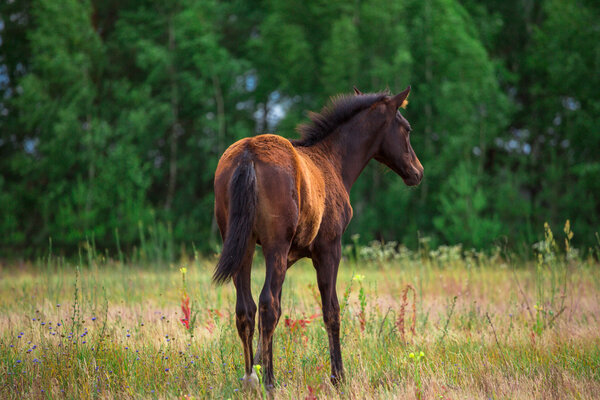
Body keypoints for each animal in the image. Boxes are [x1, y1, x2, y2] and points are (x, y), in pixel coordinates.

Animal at [213, 86, 424, 390]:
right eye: (406, 129)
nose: (417, 172)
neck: (332, 161)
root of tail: (247, 154)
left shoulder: (290, 253)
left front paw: (261, 367)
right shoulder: (328, 248)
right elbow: (331, 310)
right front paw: (339, 377)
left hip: (244, 247)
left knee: (246, 309)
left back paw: (250, 378)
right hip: (274, 246)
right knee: (267, 305)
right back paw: (270, 382)